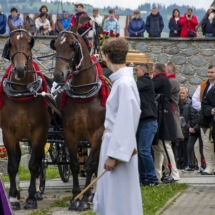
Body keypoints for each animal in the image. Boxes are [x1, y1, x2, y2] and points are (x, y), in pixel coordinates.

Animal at [0, 18, 50, 210]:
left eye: (30, 42)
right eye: (10, 43)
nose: (20, 69)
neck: (22, 93)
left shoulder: (39, 132)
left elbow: (34, 164)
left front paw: (30, 198)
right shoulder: (8, 133)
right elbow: (13, 164)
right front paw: (14, 198)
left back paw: (36, 192)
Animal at [50, 21, 106, 211]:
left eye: (71, 45)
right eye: (55, 45)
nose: (58, 74)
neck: (83, 93)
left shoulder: (98, 133)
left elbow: (90, 165)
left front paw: (85, 198)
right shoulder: (69, 133)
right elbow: (74, 164)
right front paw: (75, 197)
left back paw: (94, 194)